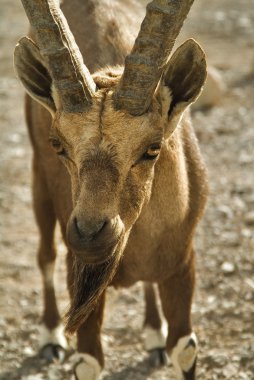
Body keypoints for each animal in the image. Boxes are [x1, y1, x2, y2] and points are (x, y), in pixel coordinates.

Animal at [14, 0, 208, 378]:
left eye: (152, 147)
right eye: (59, 145)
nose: (90, 236)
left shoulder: (182, 263)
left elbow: (184, 349)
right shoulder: (83, 280)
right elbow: (89, 359)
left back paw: (153, 336)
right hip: (39, 184)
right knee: (46, 253)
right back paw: (50, 337)